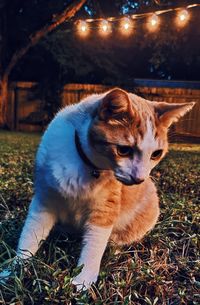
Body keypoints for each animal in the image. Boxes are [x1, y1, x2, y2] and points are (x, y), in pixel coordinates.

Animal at [0, 87, 195, 288]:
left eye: (156, 154)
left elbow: (94, 246)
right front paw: (16, 268)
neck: (85, 165)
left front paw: (83, 280)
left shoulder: (104, 210)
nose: (139, 178)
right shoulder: (44, 202)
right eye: (123, 150)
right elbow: (29, 238)